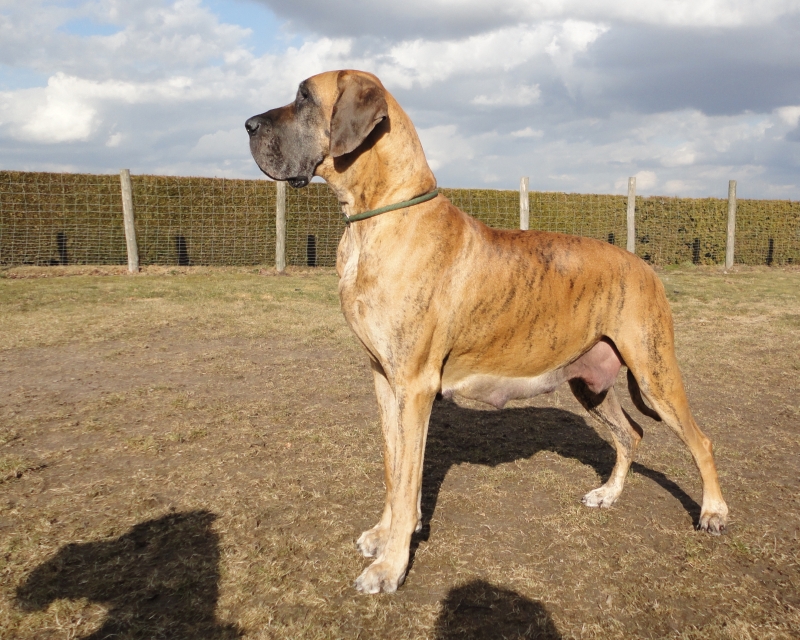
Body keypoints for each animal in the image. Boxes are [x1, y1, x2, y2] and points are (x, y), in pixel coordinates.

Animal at [245, 69, 728, 594]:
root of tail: (645, 267)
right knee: (631, 433)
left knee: (700, 441)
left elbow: (409, 478)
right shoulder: (383, 379)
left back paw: (714, 512)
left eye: (304, 96)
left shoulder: (414, 386)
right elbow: (393, 469)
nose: (248, 124)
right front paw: (383, 533)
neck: (379, 217)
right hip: (590, 382)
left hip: (654, 372)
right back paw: (608, 494)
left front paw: (391, 566)